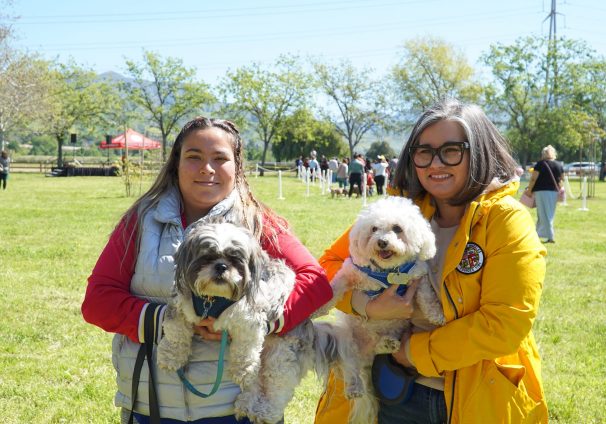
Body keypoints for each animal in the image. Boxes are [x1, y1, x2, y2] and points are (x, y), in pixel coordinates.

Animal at [158, 222, 366, 424]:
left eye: (235, 259)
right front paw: (170, 357)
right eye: (207, 256)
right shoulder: (180, 306)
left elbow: (245, 349)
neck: (213, 299)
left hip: (281, 355)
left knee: (276, 388)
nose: (221, 266)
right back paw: (245, 404)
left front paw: (242, 370)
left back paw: (265, 412)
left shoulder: (249, 321)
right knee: (255, 385)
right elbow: (175, 333)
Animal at [332, 197, 446, 422]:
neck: (388, 272)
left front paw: (436, 314)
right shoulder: (350, 272)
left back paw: (388, 344)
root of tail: (365, 353)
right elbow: (336, 286)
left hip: (393, 331)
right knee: (350, 367)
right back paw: (354, 388)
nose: (382, 242)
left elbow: (427, 296)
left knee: (377, 348)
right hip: (346, 339)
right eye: (374, 229)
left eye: (397, 228)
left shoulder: (418, 276)